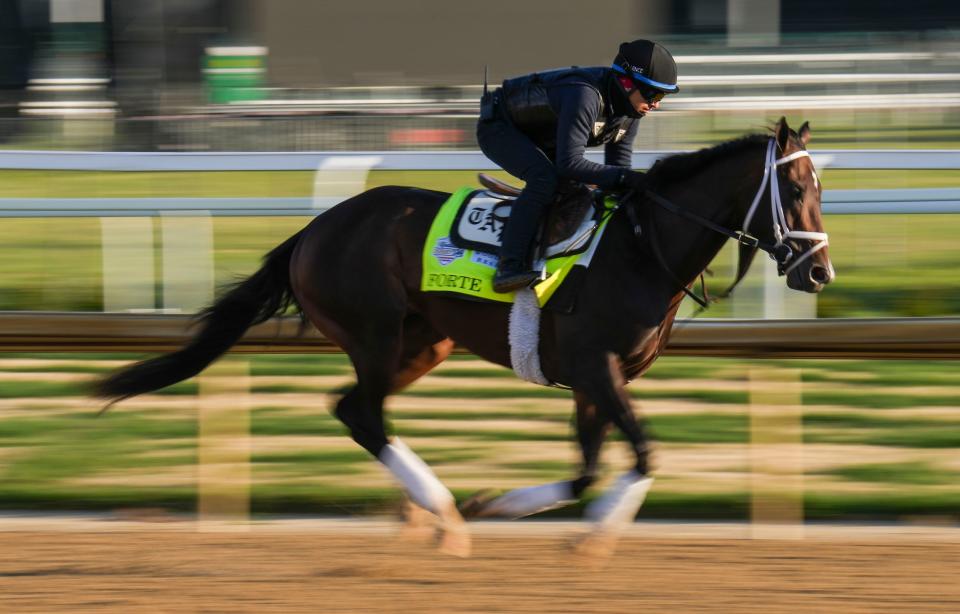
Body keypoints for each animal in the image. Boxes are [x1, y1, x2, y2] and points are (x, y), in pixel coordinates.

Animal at [97, 115, 832, 560]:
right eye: (795, 188)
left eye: (822, 189)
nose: (819, 271)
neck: (643, 247)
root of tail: (312, 230)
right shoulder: (596, 365)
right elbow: (646, 453)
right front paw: (586, 535)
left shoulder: (595, 377)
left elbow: (586, 468)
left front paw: (508, 507)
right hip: (374, 333)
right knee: (363, 414)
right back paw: (443, 513)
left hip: (425, 343)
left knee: (349, 408)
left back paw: (441, 512)